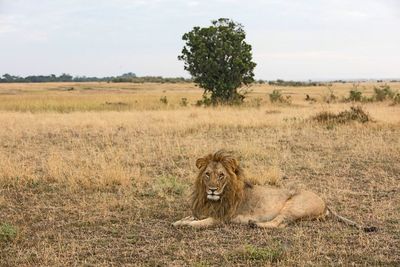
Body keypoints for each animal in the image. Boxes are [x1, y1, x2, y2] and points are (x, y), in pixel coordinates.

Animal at [173, 150, 376, 231]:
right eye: (207, 174)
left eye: (221, 175)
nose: (213, 189)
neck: (213, 199)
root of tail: (326, 203)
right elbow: (190, 218)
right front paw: (180, 220)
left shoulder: (221, 218)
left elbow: (196, 224)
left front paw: (183, 224)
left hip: (294, 205)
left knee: (280, 223)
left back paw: (254, 224)